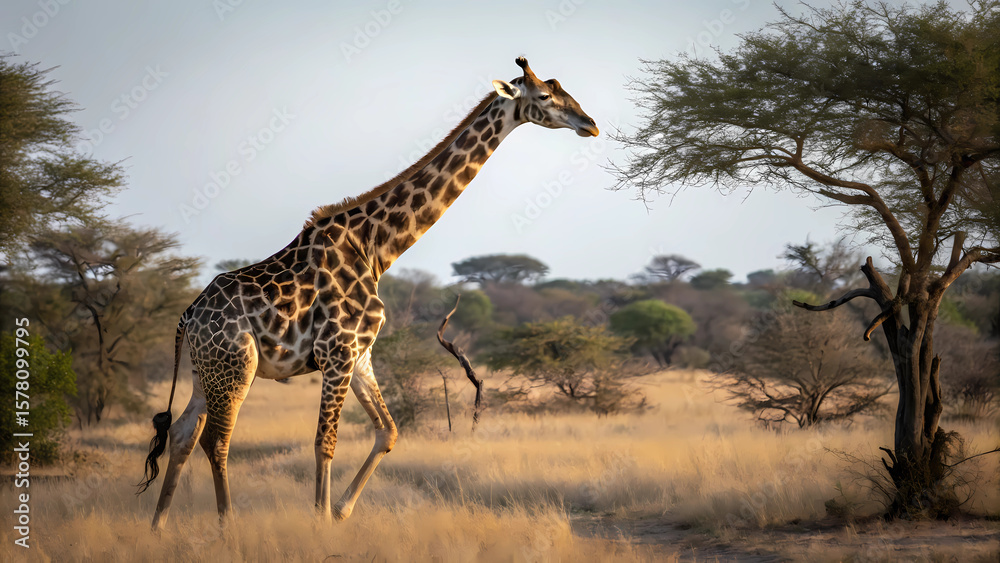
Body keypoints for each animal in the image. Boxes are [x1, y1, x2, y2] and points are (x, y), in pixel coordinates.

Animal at [138, 57, 598, 528]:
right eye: (544, 96)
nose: (591, 124)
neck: (376, 248)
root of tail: (188, 317)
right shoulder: (337, 352)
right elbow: (325, 441)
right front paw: (321, 521)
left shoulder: (361, 354)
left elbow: (388, 431)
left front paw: (340, 511)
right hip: (235, 368)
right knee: (216, 441)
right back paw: (226, 526)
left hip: (205, 371)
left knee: (182, 434)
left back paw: (158, 527)